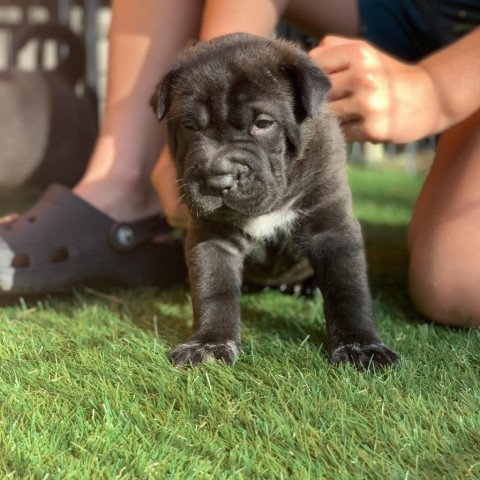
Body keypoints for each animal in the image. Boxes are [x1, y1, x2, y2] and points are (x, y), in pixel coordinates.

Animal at [152, 33, 400, 372]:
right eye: (189, 125)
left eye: (263, 123)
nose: (219, 178)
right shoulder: (212, 237)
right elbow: (214, 288)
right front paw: (209, 344)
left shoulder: (331, 227)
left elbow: (347, 289)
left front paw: (361, 347)